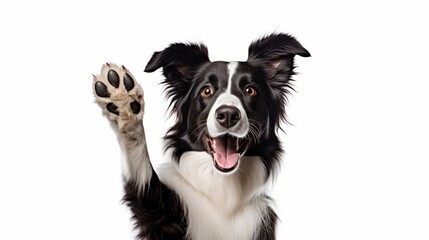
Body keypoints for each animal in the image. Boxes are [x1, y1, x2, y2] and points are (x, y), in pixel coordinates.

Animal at [93, 32, 308, 239]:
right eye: (206, 91)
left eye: (250, 90)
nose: (228, 115)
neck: (224, 192)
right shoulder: (164, 217)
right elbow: (143, 180)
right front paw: (124, 102)